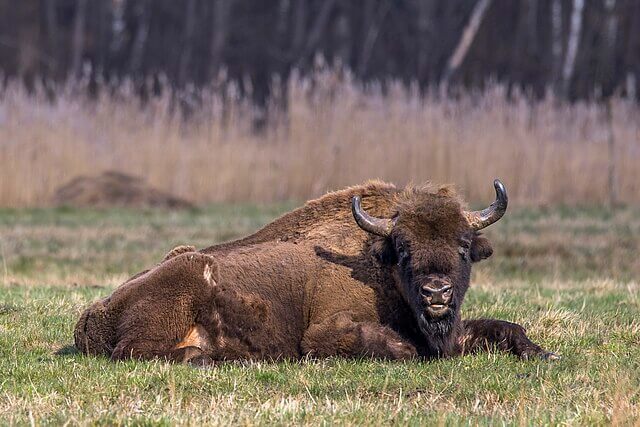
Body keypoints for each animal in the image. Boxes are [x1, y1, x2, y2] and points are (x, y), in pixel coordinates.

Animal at [75, 179, 558, 364]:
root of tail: (92, 314)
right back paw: (210, 358)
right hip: (182, 288)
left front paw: (543, 353)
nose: (436, 293)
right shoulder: (323, 333)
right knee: (135, 351)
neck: (379, 267)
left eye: (462, 246)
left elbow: (503, 327)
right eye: (403, 248)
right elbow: (397, 347)